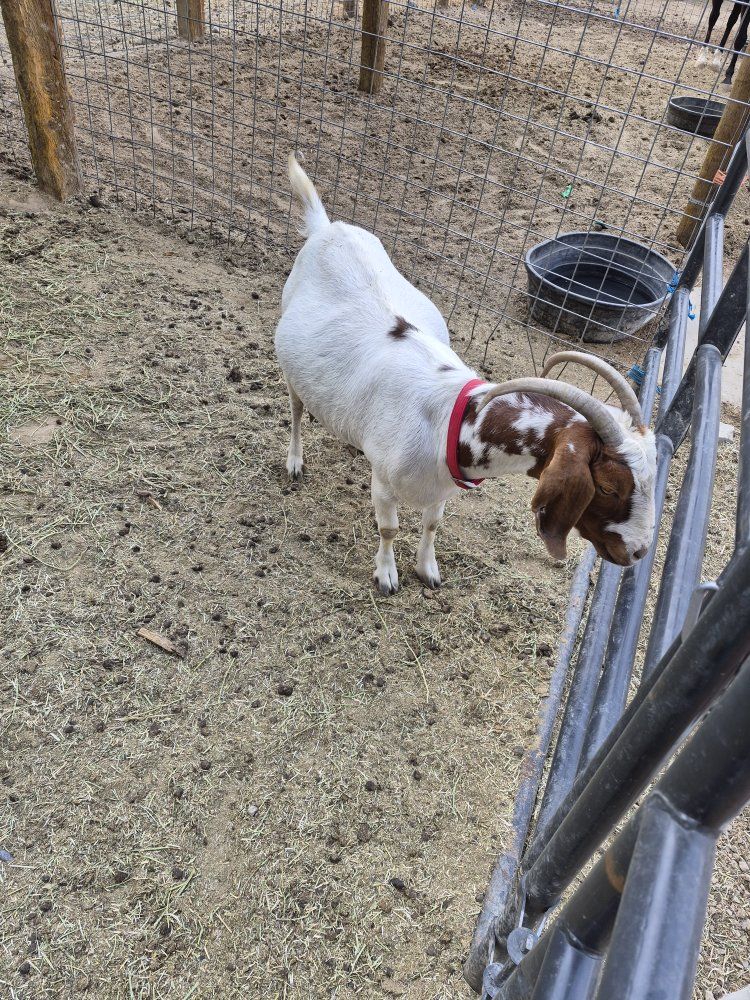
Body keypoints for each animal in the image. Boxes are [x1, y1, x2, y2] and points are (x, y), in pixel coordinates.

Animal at [275, 154, 657, 594]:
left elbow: (432, 523)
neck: (450, 423)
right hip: (292, 367)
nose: (638, 553)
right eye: (609, 486)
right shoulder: (385, 486)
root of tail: (327, 228)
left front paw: (428, 570)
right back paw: (294, 462)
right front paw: (387, 575)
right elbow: (388, 528)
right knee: (296, 411)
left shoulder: (442, 488)